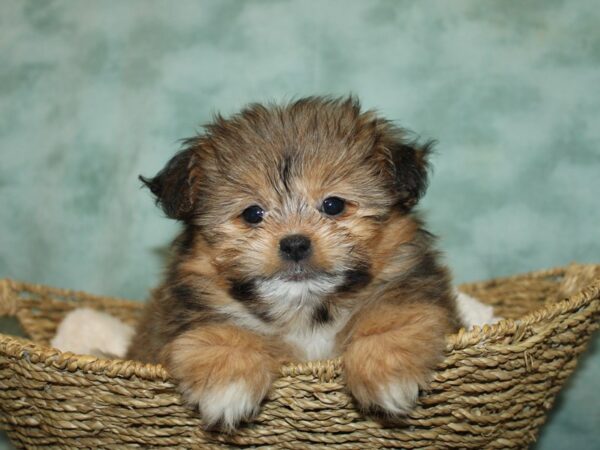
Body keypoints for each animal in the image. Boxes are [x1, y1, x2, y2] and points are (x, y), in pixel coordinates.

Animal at [124, 96, 458, 430]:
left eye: (333, 205)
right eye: (252, 214)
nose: (295, 244)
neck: (306, 312)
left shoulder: (405, 281)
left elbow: (391, 315)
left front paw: (388, 370)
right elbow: (225, 331)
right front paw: (228, 381)